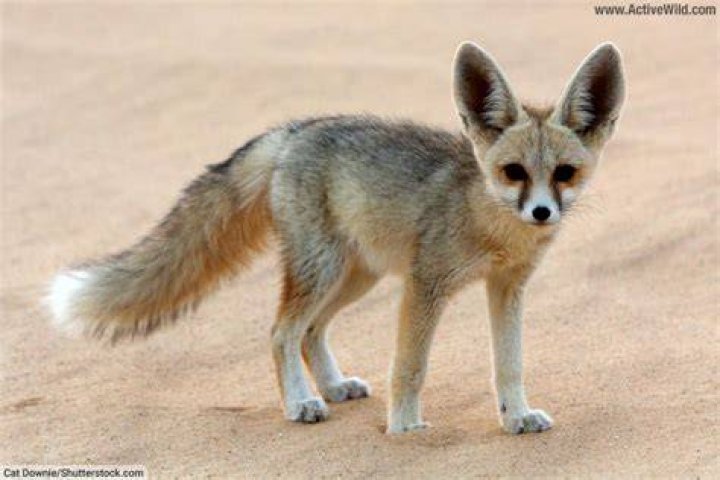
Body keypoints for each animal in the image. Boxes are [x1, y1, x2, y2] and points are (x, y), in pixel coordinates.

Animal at [48, 42, 625, 434]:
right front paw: (405, 429)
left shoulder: (507, 288)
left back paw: (330, 386)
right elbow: (410, 367)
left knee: (309, 332)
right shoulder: (425, 286)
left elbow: (510, 364)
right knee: (281, 332)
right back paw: (301, 403)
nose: (542, 212)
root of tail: (296, 129)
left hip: (357, 277)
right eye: (513, 173)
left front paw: (515, 417)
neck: (489, 223)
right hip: (324, 270)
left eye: (564, 174)